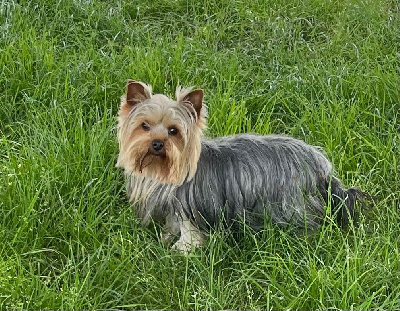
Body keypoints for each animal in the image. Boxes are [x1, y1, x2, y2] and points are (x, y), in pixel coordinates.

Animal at [115, 80, 366, 254]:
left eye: (173, 130)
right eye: (144, 126)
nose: (157, 143)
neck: (163, 171)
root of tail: (321, 166)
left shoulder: (191, 206)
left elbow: (189, 231)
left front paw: (182, 250)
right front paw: (167, 237)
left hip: (292, 202)